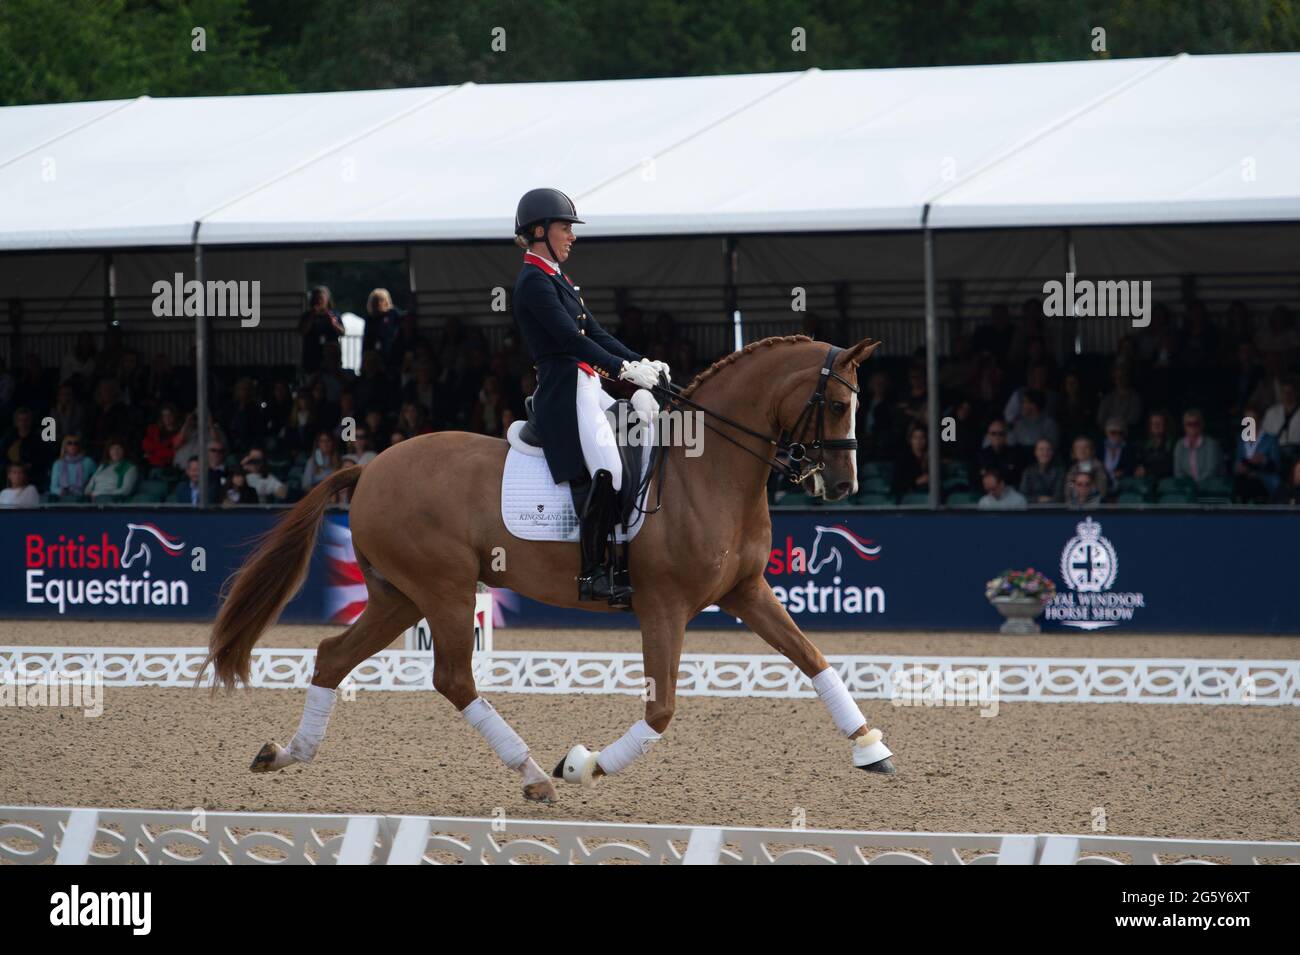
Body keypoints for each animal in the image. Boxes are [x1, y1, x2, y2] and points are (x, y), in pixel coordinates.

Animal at [205, 335, 894, 800]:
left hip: (399, 596)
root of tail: (369, 467)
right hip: (443, 588)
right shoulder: (663, 607)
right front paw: (583, 764)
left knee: (332, 656)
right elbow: (661, 711)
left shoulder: (747, 591)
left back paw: (285, 753)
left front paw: (871, 748)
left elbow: (813, 658)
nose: (842, 485)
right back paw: (537, 774)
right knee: (453, 679)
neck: (707, 470)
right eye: (837, 405)